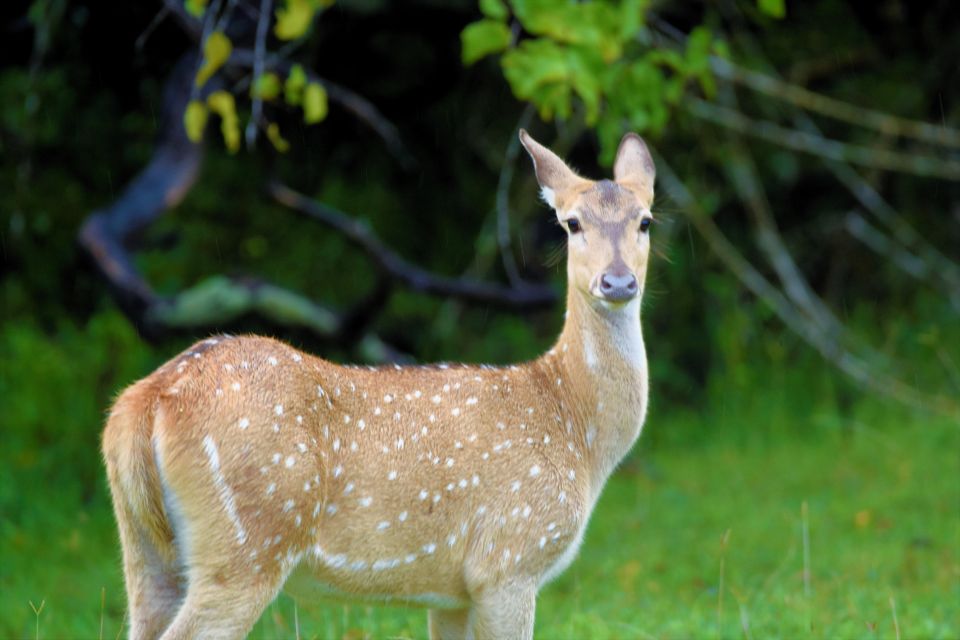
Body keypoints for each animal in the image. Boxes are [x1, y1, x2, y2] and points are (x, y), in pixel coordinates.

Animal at [101, 127, 656, 636]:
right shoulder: (509, 559)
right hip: (249, 539)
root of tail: (146, 401)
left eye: (646, 220)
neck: (573, 424)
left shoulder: (452, 593)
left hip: (145, 546)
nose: (617, 281)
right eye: (572, 223)